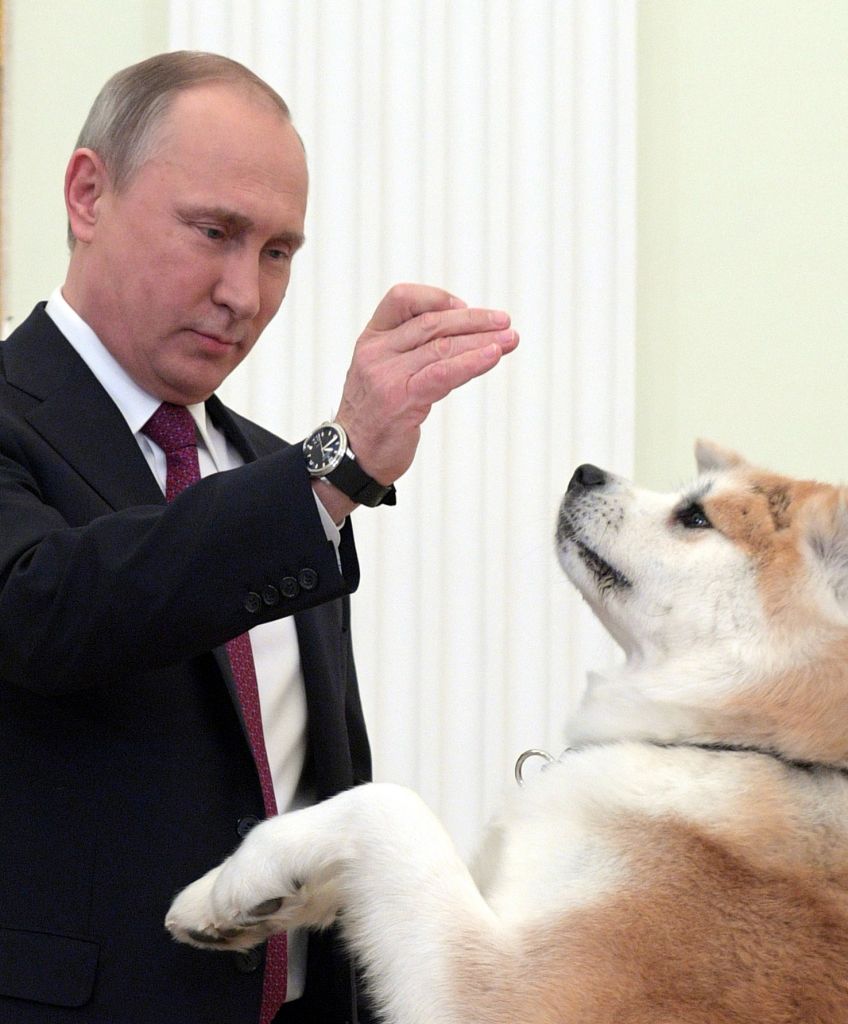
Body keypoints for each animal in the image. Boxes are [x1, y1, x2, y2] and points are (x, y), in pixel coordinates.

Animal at [163, 442, 847, 1024]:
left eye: (696, 517)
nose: (585, 472)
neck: (736, 745)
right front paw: (232, 899)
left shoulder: (509, 994)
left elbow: (385, 808)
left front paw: (248, 871)